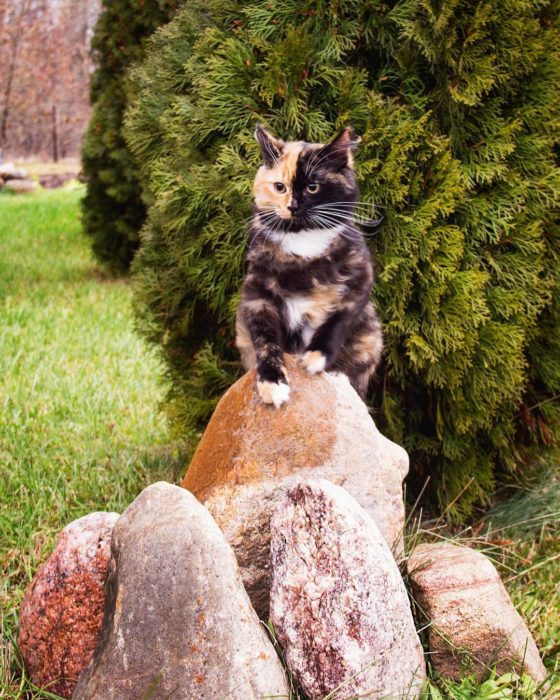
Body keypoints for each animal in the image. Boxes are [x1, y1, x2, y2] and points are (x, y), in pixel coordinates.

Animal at [234, 123, 382, 408]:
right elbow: (266, 342)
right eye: (279, 187)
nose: (293, 205)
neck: (303, 241)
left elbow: (336, 322)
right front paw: (272, 384)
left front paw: (316, 357)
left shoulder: (359, 282)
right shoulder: (257, 296)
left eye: (313, 187)